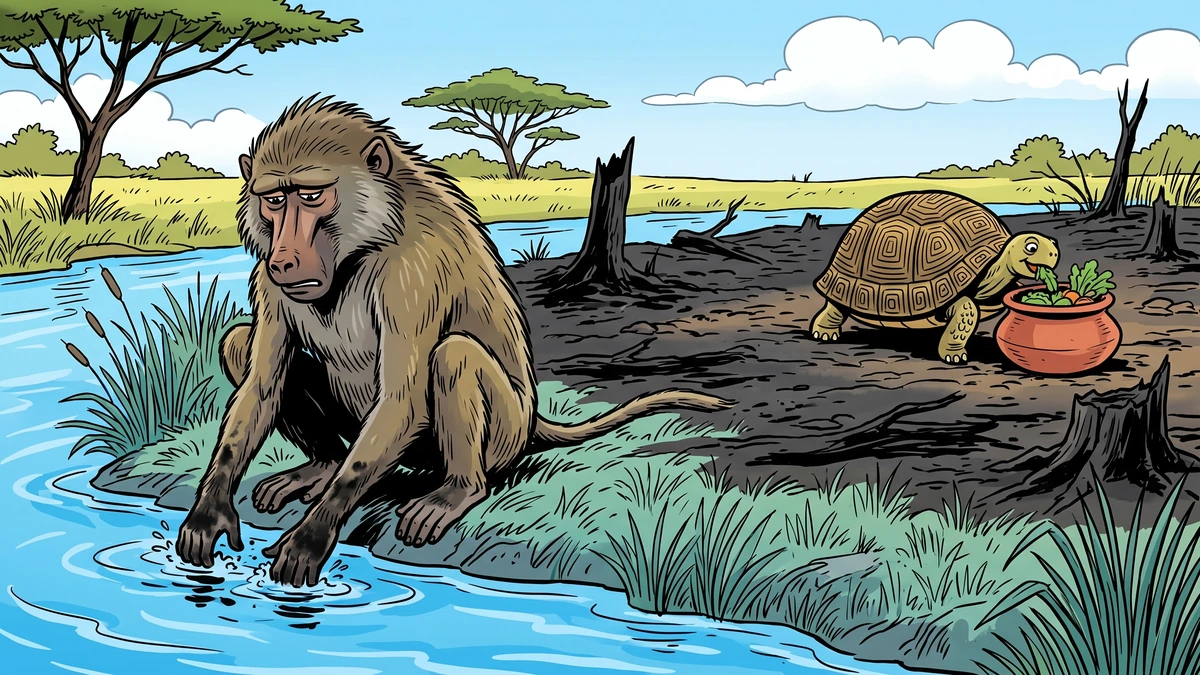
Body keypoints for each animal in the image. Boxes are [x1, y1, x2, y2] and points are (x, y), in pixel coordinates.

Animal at [174, 96, 735, 587]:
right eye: (274, 200)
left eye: (311, 196)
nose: (286, 257)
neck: (360, 248)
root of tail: (533, 417)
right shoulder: (269, 282)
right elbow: (261, 385)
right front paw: (209, 511)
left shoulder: (413, 274)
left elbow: (402, 398)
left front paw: (313, 533)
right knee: (238, 343)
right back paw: (322, 466)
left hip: (501, 433)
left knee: (454, 356)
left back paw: (457, 491)